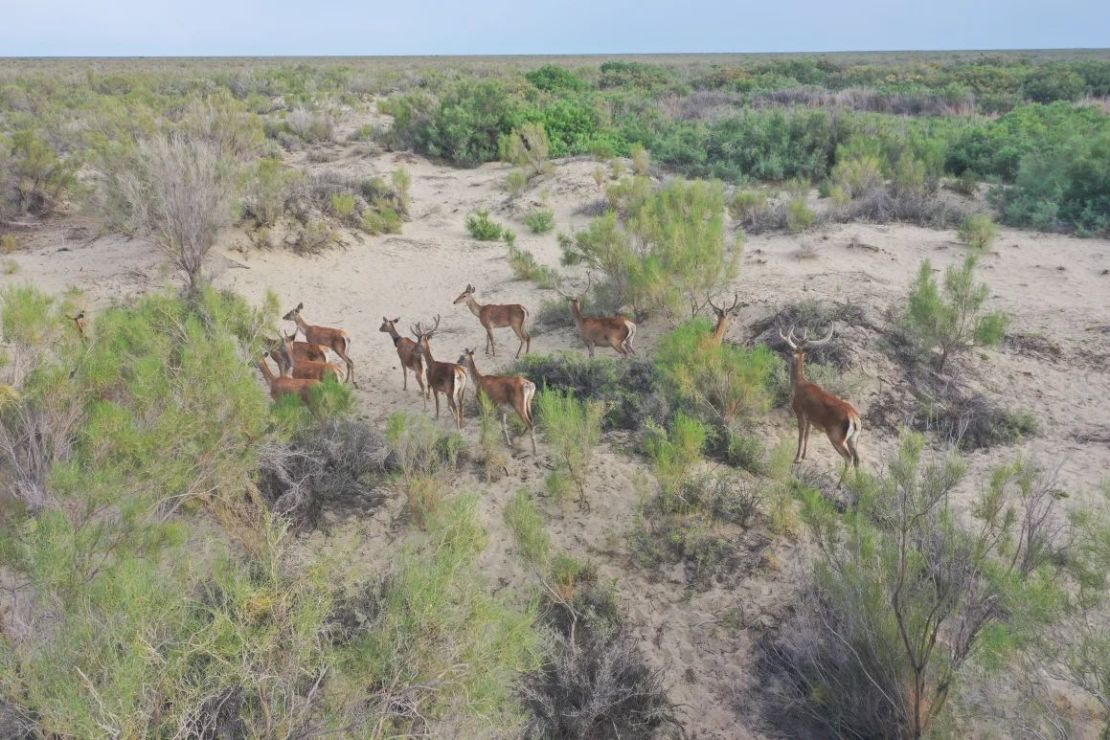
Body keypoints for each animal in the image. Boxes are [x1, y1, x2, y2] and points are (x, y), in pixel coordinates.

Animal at [777, 323, 861, 485]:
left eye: (792, 350)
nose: (785, 354)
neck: (799, 385)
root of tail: (855, 419)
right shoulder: (811, 418)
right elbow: (807, 436)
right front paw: (803, 456)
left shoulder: (800, 412)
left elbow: (800, 436)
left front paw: (796, 459)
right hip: (853, 439)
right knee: (857, 459)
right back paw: (859, 484)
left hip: (836, 435)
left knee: (848, 458)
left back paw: (839, 485)